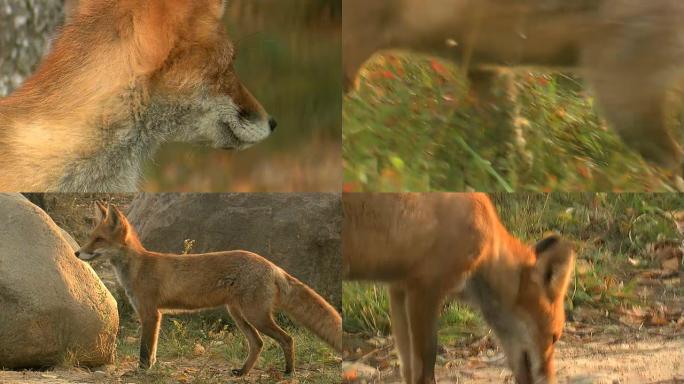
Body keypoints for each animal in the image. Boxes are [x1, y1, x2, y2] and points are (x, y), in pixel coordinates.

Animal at [75, 202, 342, 376]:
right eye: (90, 237)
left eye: (99, 240)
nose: (77, 253)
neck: (139, 267)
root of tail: (271, 265)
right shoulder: (155, 315)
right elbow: (152, 351)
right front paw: (148, 370)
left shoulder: (150, 313)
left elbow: (144, 350)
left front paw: (140, 373)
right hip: (239, 315)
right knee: (258, 344)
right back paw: (242, 372)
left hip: (255, 316)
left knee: (287, 339)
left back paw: (288, 372)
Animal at [344, 192, 576, 384]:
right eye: (554, 337)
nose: (552, 382)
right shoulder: (424, 289)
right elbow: (425, 370)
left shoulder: (399, 289)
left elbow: (408, 370)